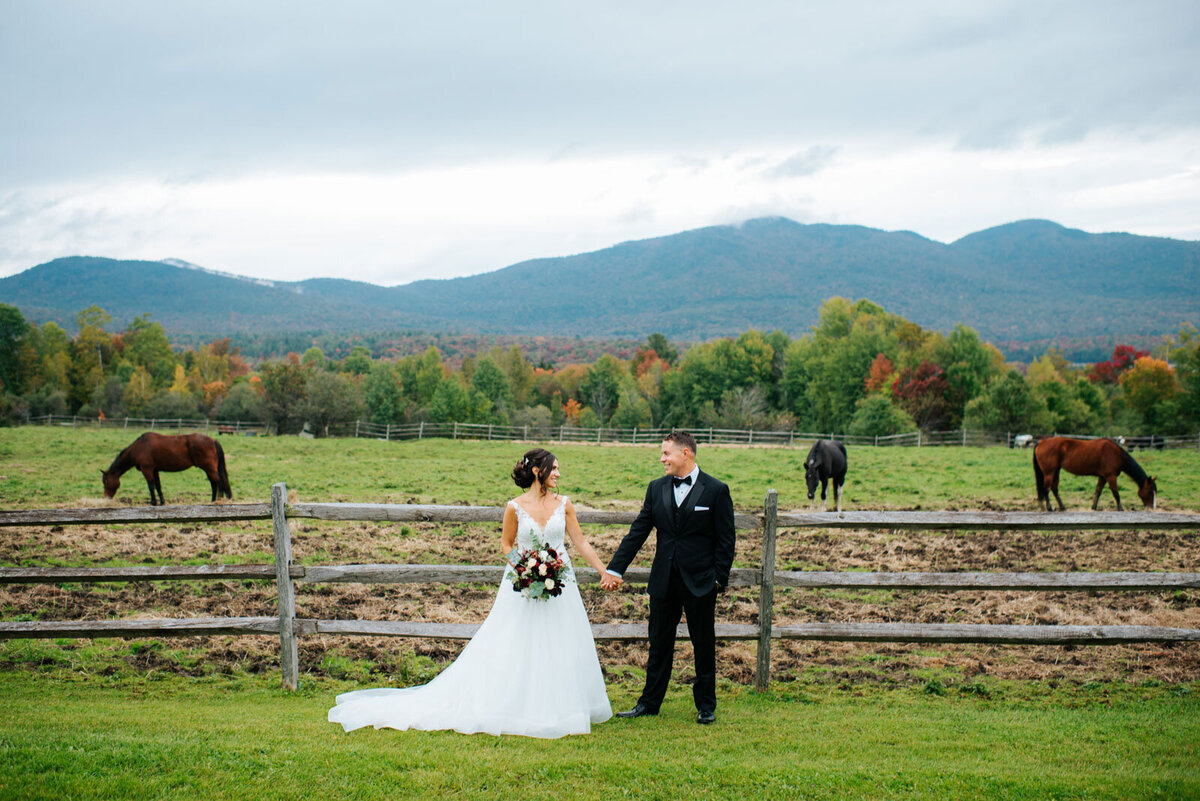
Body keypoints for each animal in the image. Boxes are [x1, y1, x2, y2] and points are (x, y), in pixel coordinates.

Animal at [101, 434, 231, 503]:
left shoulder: (147, 470)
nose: (106, 497)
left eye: (106, 481)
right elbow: (158, 486)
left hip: (210, 469)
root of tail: (213, 440)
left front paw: (153, 502)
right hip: (209, 470)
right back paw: (214, 501)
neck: (138, 447)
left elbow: (151, 486)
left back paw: (219, 501)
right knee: (215, 484)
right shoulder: (155, 470)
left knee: (219, 483)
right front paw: (162, 502)